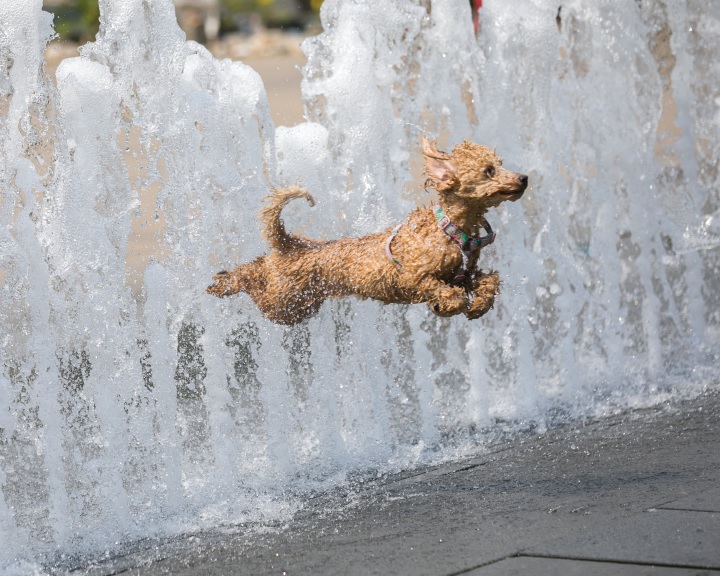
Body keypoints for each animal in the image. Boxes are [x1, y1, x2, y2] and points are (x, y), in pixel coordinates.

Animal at [205, 137, 524, 322]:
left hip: (298, 302)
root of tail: (289, 244)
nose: (524, 178)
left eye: (500, 164)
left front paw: (479, 305)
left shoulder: (464, 273)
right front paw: (449, 304)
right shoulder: (412, 277)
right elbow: (439, 289)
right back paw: (223, 283)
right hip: (282, 303)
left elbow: (489, 281)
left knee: (259, 264)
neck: (449, 230)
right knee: (251, 277)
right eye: (489, 171)